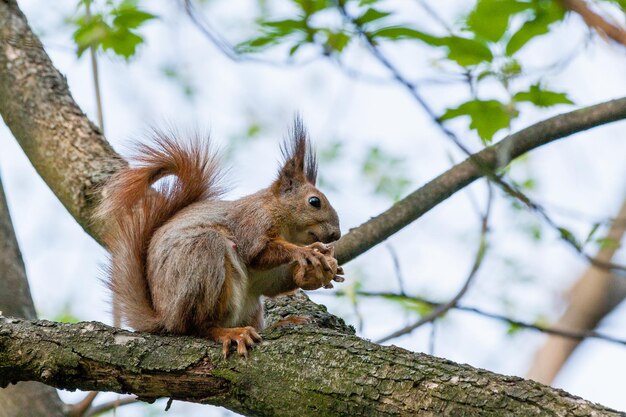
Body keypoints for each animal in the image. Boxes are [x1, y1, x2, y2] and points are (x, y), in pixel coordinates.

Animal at [95, 118, 344, 356]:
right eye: (314, 201)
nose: (336, 234)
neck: (281, 219)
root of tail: (165, 316)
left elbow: (271, 283)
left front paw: (321, 272)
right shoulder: (251, 224)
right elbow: (257, 253)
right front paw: (306, 252)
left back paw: (282, 324)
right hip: (203, 260)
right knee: (198, 327)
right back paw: (229, 333)